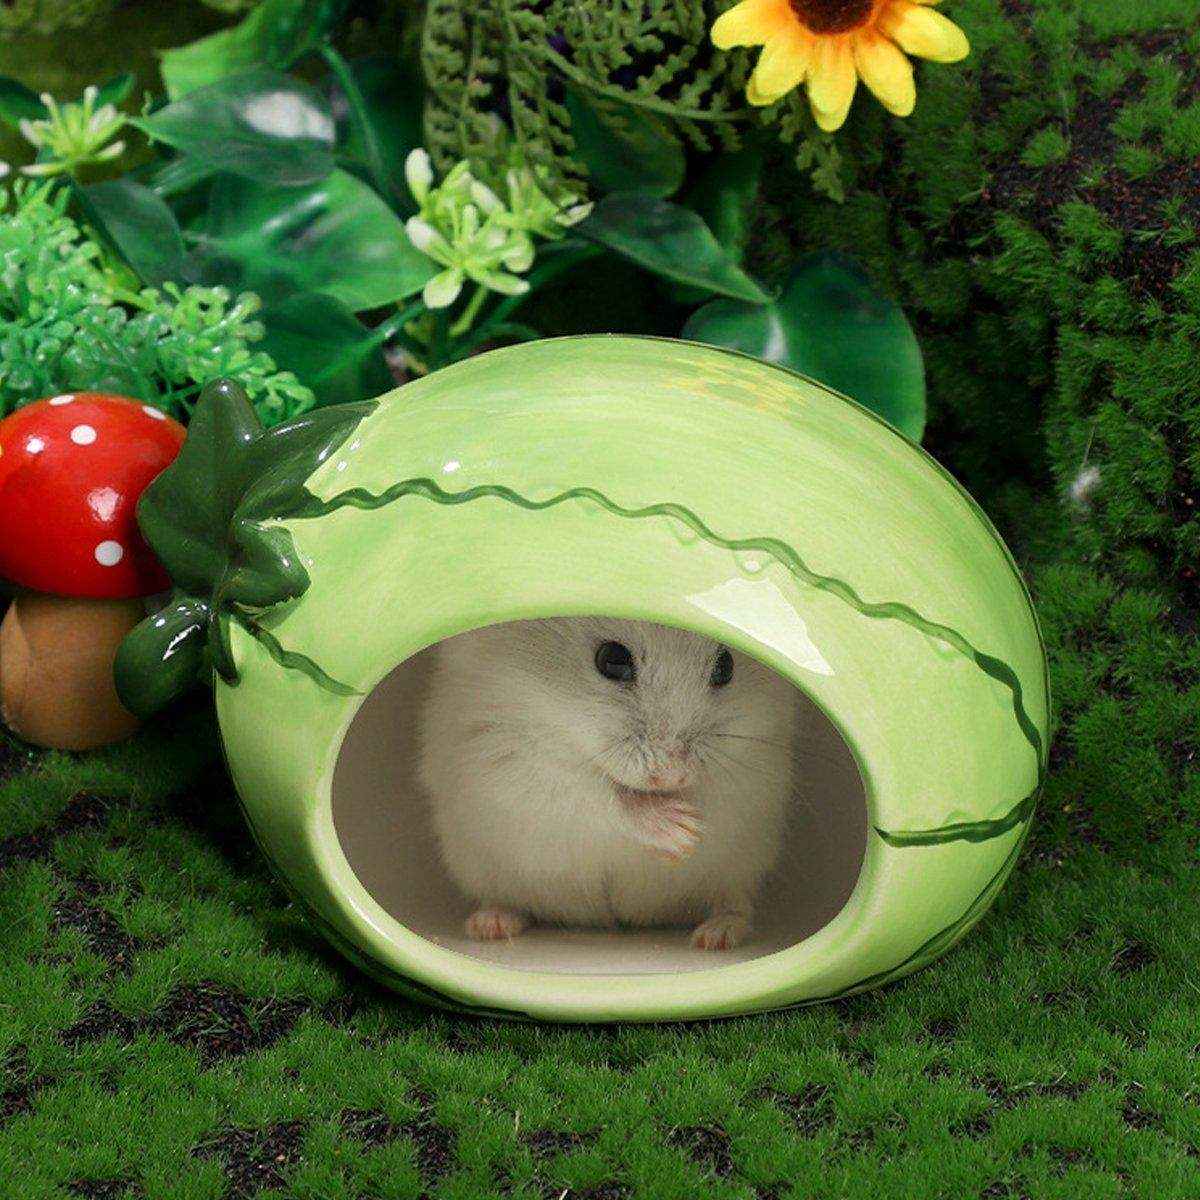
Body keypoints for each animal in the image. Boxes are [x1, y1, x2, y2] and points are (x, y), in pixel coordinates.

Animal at [417, 617, 803, 950]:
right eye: (612, 660)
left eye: (725, 667)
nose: (672, 774)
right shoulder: (515, 765)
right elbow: (602, 802)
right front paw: (680, 832)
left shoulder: (756, 767)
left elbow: (715, 796)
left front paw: (687, 839)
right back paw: (488, 926)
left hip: (741, 867)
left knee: (733, 905)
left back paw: (715, 938)